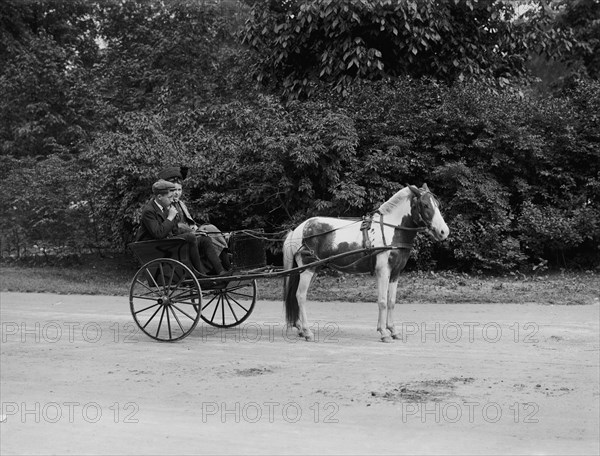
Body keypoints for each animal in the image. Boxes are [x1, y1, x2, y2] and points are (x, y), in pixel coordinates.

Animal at [284, 182, 448, 342]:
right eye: (425, 205)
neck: (391, 229)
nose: (444, 232)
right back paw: (307, 332)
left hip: (313, 269)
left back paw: (300, 329)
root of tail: (298, 229)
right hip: (307, 270)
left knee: (297, 296)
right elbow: (382, 301)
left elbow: (391, 301)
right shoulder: (383, 271)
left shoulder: (395, 273)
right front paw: (384, 333)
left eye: (437, 204)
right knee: (300, 296)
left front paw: (393, 331)